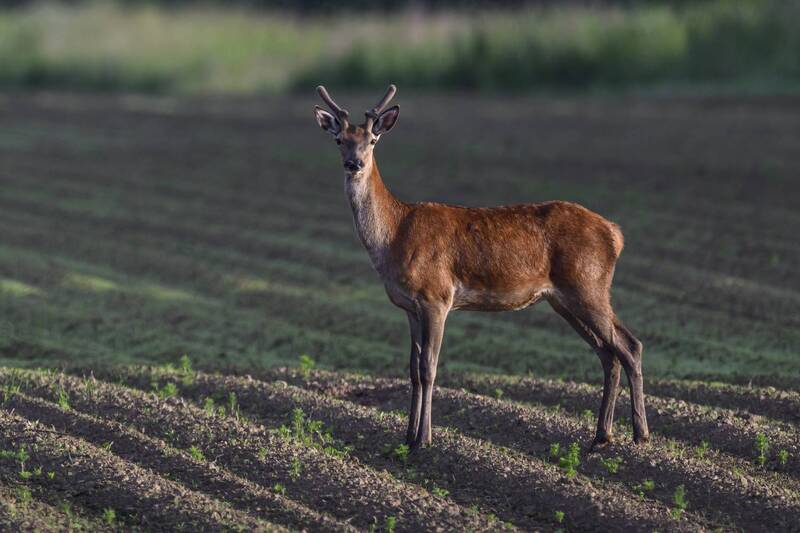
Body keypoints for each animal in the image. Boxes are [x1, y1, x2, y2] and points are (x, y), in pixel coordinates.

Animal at [313, 84, 649, 451]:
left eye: (373, 139)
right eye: (339, 139)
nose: (354, 163)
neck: (394, 233)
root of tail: (615, 233)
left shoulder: (437, 296)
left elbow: (429, 368)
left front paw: (424, 439)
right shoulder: (409, 307)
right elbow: (412, 370)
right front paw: (407, 436)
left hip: (588, 285)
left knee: (630, 345)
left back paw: (640, 434)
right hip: (565, 299)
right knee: (608, 354)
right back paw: (601, 436)